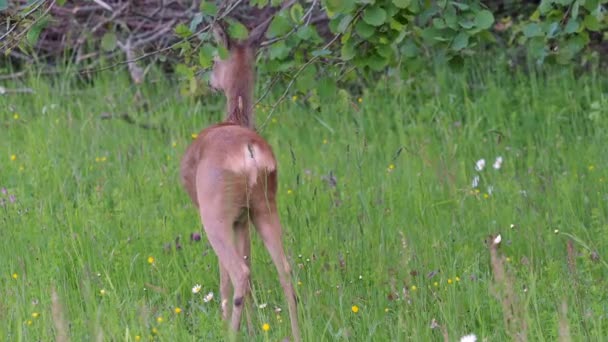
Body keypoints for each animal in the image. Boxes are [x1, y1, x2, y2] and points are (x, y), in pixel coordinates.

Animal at [179, 19, 302, 342]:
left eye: (215, 59)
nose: (211, 80)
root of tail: (250, 154)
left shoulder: (222, 216)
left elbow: (223, 277)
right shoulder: (243, 219)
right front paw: (252, 328)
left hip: (215, 213)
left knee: (238, 274)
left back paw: (229, 333)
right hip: (264, 205)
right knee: (284, 269)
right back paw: (297, 332)